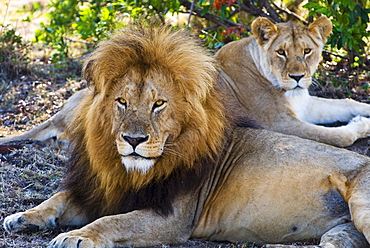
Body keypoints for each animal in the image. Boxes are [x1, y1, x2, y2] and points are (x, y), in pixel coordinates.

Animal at [217, 16, 370, 147]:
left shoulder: (304, 104)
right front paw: (362, 123)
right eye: (280, 52)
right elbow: (339, 136)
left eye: (307, 51)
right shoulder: (277, 124)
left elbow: (346, 102)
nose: (298, 77)